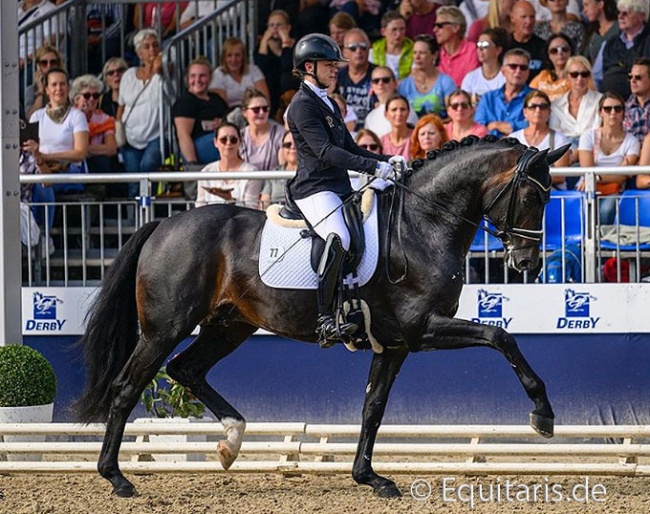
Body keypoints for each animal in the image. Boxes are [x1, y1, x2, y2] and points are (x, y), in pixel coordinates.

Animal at [72, 135, 568, 496]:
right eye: (531, 196)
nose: (527, 263)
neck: (421, 226)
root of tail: (164, 223)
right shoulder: (421, 329)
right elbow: (501, 338)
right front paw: (542, 414)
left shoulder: (394, 344)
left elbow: (373, 407)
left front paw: (370, 478)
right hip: (164, 329)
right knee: (127, 386)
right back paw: (116, 477)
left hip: (230, 326)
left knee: (186, 370)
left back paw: (231, 442)